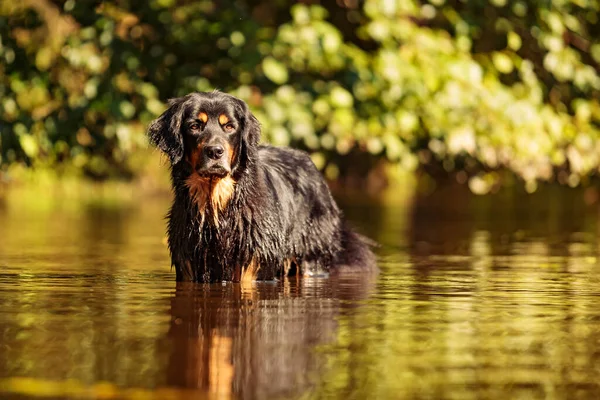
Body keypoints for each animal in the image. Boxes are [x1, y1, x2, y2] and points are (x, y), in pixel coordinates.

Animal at [148, 90, 376, 282]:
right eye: (194, 126)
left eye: (229, 126)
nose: (215, 151)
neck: (217, 204)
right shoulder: (187, 264)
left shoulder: (253, 263)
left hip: (312, 254)